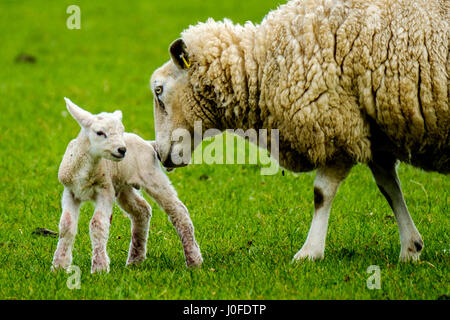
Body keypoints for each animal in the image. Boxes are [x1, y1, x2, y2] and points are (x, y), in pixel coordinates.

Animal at [50, 97, 202, 272]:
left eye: (121, 131)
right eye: (100, 132)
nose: (122, 150)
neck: (87, 168)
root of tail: (148, 143)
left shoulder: (105, 190)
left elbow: (97, 224)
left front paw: (99, 267)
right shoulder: (71, 191)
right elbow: (66, 225)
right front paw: (59, 266)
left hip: (151, 175)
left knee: (178, 210)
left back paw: (194, 260)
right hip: (123, 187)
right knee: (142, 210)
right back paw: (135, 260)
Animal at [149, 0, 448, 262]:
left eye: (159, 90)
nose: (159, 154)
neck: (265, 64)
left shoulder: (335, 124)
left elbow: (321, 193)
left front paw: (309, 252)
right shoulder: (369, 131)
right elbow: (389, 189)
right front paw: (411, 248)